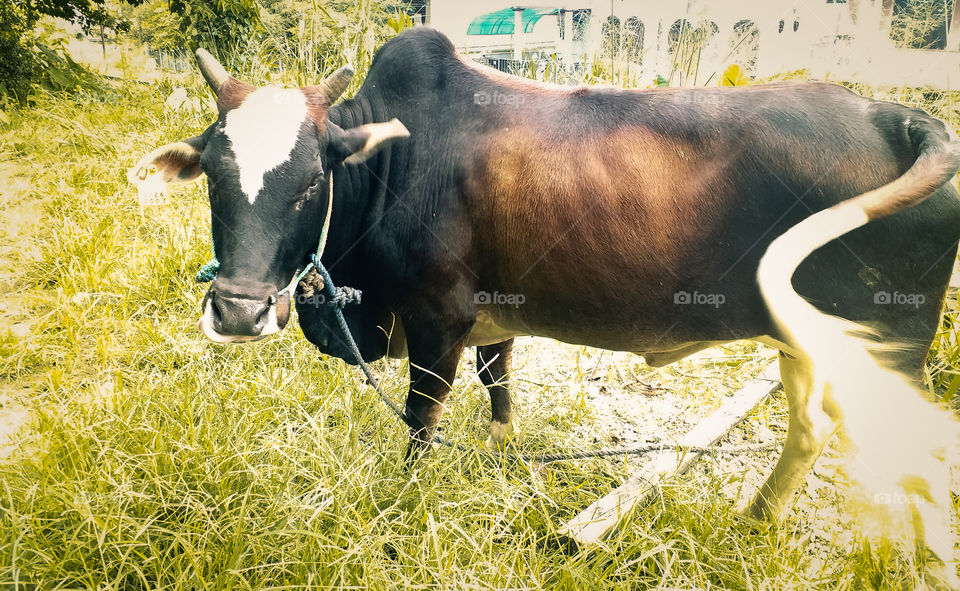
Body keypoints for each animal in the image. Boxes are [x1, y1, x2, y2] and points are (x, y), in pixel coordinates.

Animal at [128, 27, 960, 573]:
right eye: (213, 175)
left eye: (310, 179)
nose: (238, 311)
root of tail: (904, 116)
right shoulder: (493, 312)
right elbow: (499, 380)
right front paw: (501, 445)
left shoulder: (438, 316)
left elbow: (421, 418)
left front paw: (404, 495)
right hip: (808, 341)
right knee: (810, 428)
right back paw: (755, 518)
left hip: (892, 353)